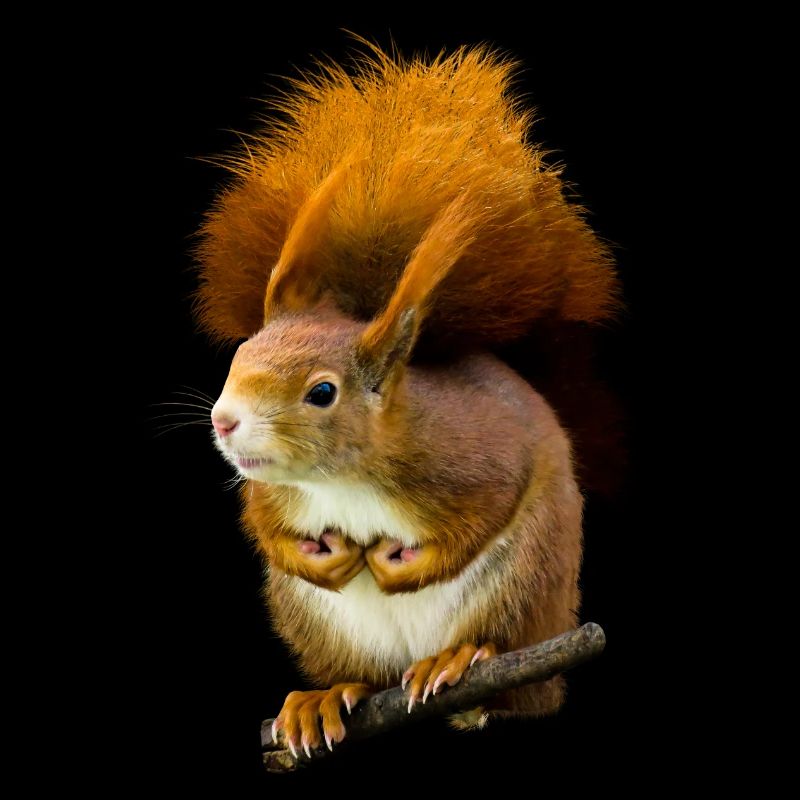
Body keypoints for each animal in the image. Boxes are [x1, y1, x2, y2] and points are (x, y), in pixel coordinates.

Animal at [196, 44, 617, 757]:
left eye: (322, 392)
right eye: (239, 357)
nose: (225, 422)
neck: (343, 479)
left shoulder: (475, 458)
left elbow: (483, 513)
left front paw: (396, 566)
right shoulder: (273, 493)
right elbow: (265, 527)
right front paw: (322, 556)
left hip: (523, 588)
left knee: (515, 678)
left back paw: (459, 662)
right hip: (319, 624)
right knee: (361, 675)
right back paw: (325, 697)